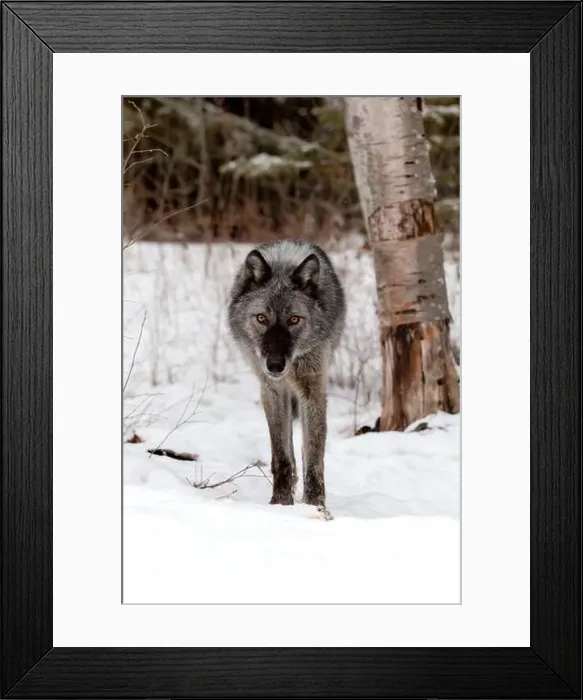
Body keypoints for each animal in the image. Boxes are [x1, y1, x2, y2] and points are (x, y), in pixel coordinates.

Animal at [228, 239, 346, 507]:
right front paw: (281, 502)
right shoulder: (272, 390)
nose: (274, 365)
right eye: (261, 318)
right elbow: (281, 455)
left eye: (294, 320)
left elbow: (313, 455)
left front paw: (314, 505)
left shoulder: (312, 389)